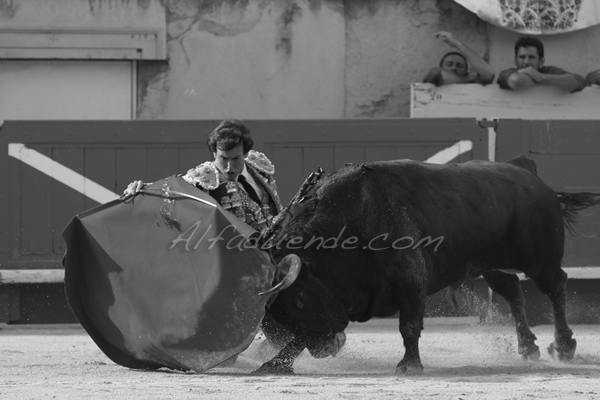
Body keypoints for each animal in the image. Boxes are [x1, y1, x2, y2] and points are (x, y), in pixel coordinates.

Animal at [254, 155, 600, 376]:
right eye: (274, 312)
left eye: (300, 299)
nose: (326, 350)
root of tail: (525, 170)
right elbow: (301, 336)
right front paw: (274, 365)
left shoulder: (410, 279)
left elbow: (409, 325)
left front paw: (409, 366)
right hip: (491, 265)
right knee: (514, 291)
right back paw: (528, 347)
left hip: (539, 260)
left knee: (556, 286)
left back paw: (564, 345)